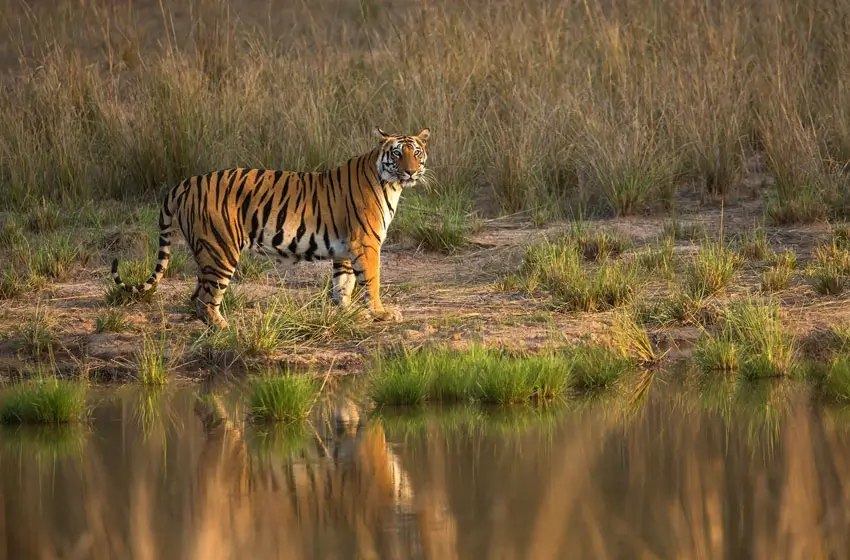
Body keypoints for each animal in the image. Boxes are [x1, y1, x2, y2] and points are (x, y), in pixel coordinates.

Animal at [111, 127, 431, 328]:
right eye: (398, 154)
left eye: (416, 153)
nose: (411, 171)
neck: (391, 185)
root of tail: (186, 182)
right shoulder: (366, 244)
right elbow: (371, 281)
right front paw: (381, 313)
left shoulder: (345, 248)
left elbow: (344, 284)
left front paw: (349, 313)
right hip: (221, 250)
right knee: (205, 298)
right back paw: (223, 327)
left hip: (206, 251)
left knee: (196, 295)